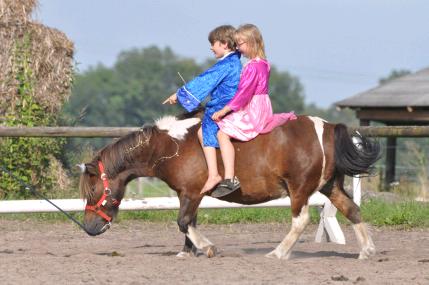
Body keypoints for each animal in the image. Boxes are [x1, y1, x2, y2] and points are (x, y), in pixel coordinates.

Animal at [77, 112, 378, 258]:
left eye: (93, 192)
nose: (88, 228)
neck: (170, 147)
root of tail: (327, 127)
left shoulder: (192, 192)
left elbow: (183, 222)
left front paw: (207, 248)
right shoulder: (188, 194)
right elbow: (189, 222)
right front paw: (187, 251)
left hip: (300, 188)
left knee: (300, 221)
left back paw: (278, 253)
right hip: (329, 186)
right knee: (353, 211)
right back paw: (366, 251)